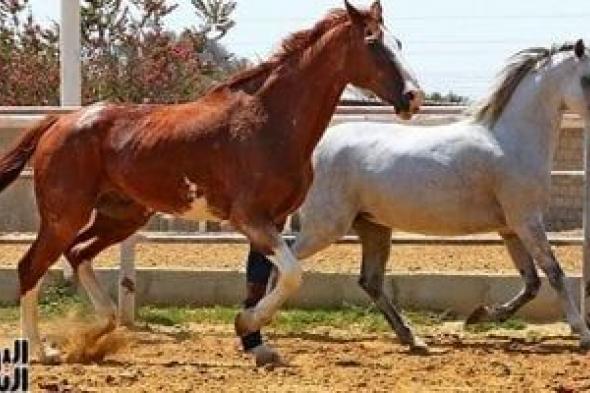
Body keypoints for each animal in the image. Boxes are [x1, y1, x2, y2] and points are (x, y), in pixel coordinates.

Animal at [294, 39, 590, 350]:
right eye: (587, 79)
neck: (510, 141)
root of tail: (314, 148)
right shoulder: (527, 221)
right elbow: (555, 273)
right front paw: (583, 333)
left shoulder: (511, 228)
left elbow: (532, 283)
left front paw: (479, 316)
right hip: (326, 227)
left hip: (373, 227)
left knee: (369, 281)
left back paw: (412, 338)